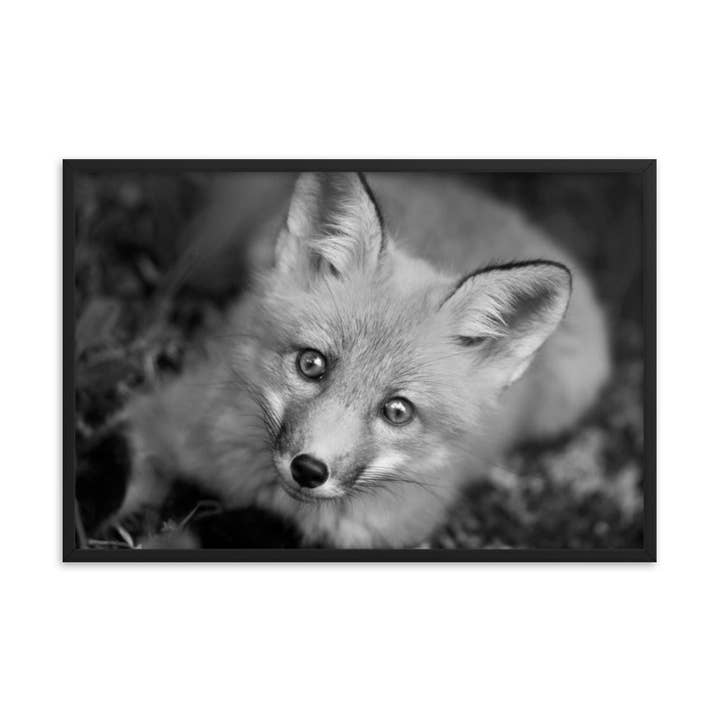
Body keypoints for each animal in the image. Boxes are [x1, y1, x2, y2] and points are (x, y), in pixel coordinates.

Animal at [112, 171, 610, 549]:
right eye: (311, 364)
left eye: (397, 411)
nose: (308, 470)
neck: (273, 502)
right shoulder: (160, 415)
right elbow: (124, 487)